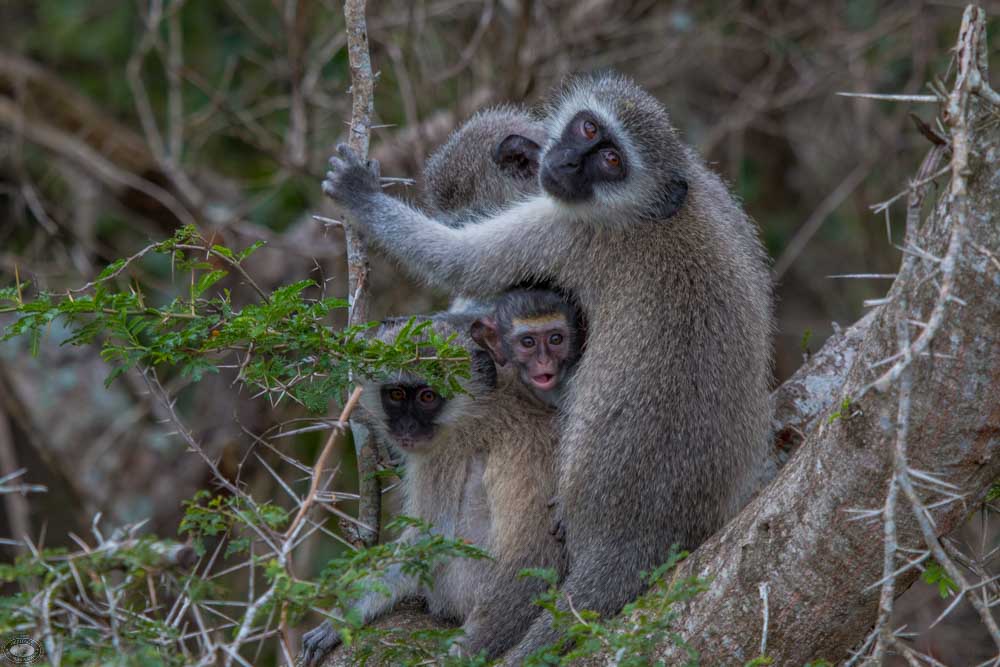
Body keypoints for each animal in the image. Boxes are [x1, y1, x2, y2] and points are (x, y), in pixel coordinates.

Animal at [322, 71, 774, 661]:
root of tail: (639, 535)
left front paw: (361, 195)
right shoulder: (713, 193)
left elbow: (461, 263)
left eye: (610, 160)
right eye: (588, 129)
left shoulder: (562, 232)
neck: (655, 209)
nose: (570, 160)